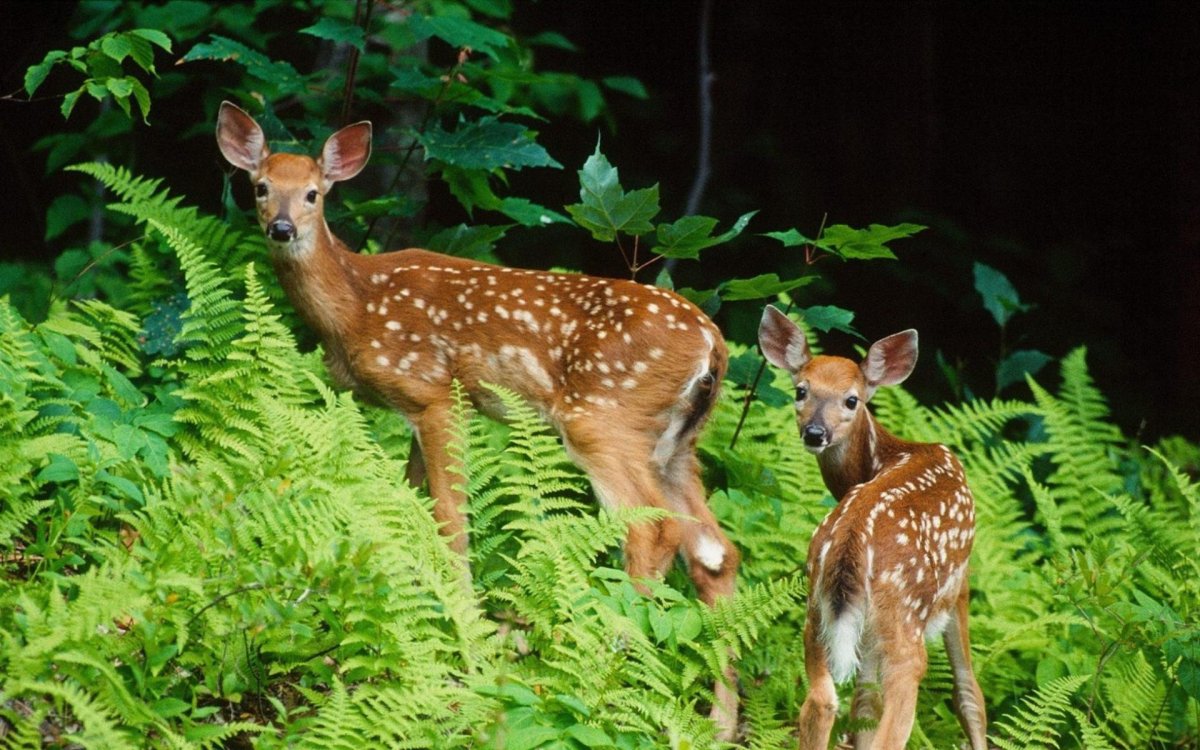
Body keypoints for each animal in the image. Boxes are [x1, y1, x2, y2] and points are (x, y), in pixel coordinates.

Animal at [215, 101, 741, 738]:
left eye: (315, 193)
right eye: (261, 187)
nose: (282, 228)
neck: (357, 307)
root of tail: (713, 345)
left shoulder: (436, 392)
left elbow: (449, 522)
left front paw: (467, 647)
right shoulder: (412, 411)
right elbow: (406, 511)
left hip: (603, 416)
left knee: (651, 529)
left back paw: (604, 676)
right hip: (677, 444)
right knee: (715, 552)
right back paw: (718, 725)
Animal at [757, 305, 987, 750]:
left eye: (852, 399)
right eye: (800, 391)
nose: (815, 432)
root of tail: (849, 542)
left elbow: (862, 704)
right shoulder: (961, 580)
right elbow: (969, 693)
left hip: (816, 610)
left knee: (824, 702)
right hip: (903, 618)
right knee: (894, 716)